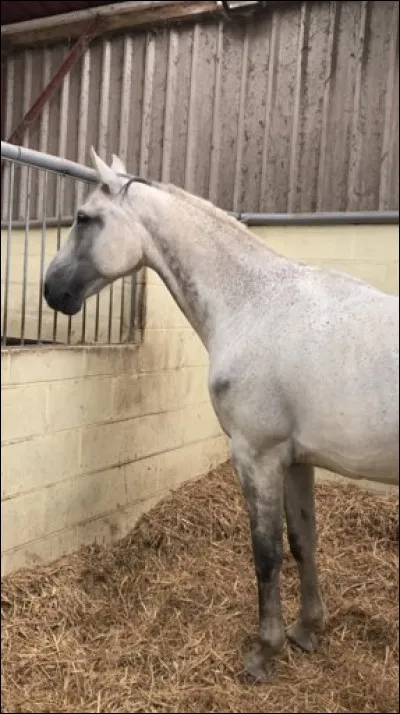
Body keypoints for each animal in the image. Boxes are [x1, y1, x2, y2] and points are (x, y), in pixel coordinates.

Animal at [44, 150, 399, 681]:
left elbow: (266, 553)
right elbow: (304, 541)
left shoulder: (257, 456)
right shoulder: (297, 460)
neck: (256, 303)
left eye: (85, 218)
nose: (51, 290)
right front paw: (307, 630)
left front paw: (264, 652)